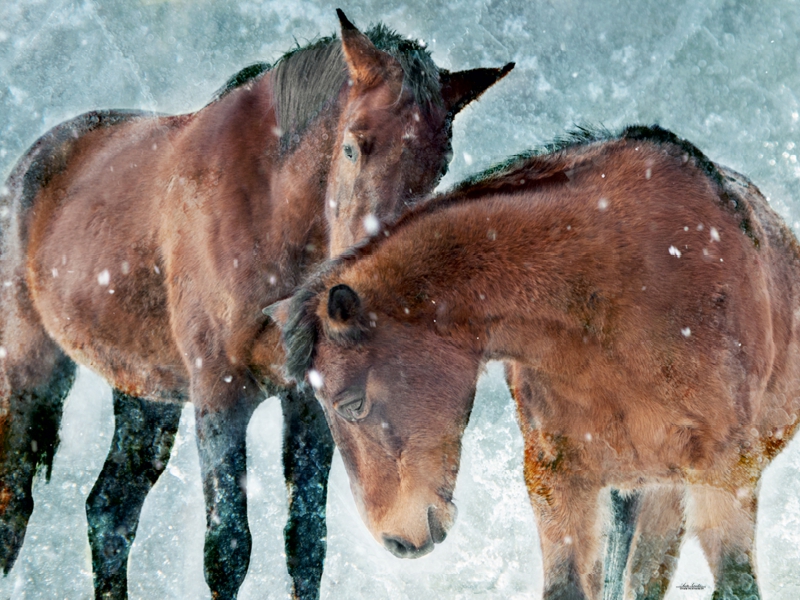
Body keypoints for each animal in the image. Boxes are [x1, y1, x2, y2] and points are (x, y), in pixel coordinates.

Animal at [0, 10, 512, 600]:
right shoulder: (219, 394)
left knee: (110, 512)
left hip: (144, 394)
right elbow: (227, 549)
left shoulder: (311, 403)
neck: (270, 214)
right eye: (353, 146)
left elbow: (306, 542)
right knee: (15, 506)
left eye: (439, 166)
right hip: (30, 369)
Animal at [272, 126, 796, 600]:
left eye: (350, 403)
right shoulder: (557, 481)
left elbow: (737, 586)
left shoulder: (724, 475)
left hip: (668, 494)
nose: (397, 541)